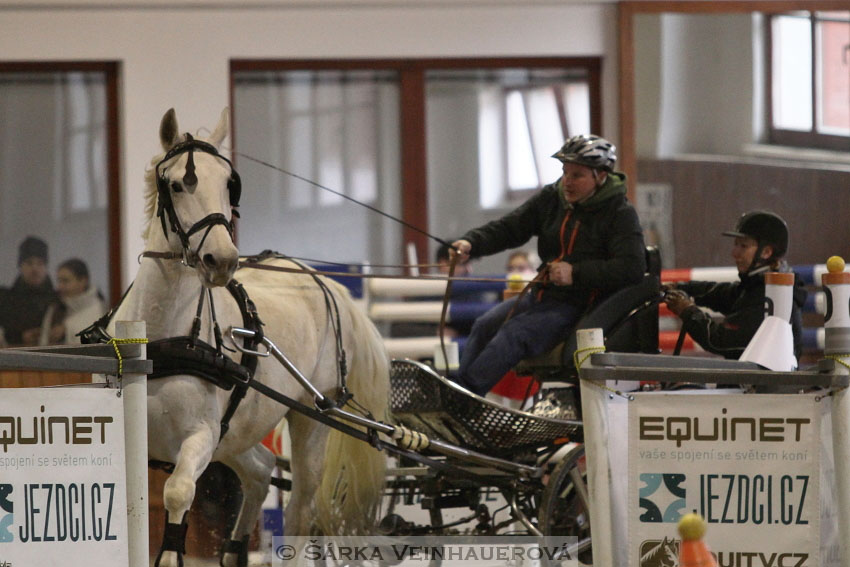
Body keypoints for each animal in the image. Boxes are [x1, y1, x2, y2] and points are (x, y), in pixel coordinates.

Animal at [110, 108, 390, 564]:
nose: (222, 259)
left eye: (230, 183)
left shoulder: (201, 438)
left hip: (310, 420)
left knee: (299, 508)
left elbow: (177, 496)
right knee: (260, 471)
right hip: (239, 434)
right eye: (176, 184)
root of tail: (326, 283)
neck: (162, 341)